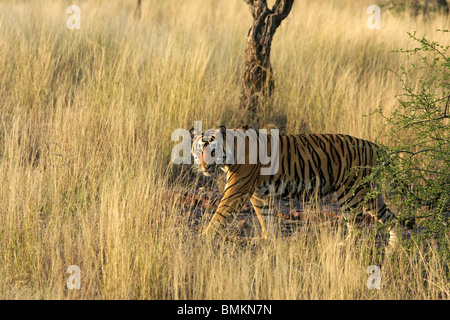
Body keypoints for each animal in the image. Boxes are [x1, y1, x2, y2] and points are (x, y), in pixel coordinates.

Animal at [190, 124, 412, 245]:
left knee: (357, 228)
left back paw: (343, 247)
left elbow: (220, 215)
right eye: (199, 149)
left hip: (352, 193)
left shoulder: (237, 190)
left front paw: (203, 237)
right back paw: (393, 248)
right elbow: (266, 217)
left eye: (213, 151)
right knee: (390, 218)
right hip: (370, 194)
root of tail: (373, 145)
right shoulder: (259, 195)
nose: (203, 166)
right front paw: (267, 239)